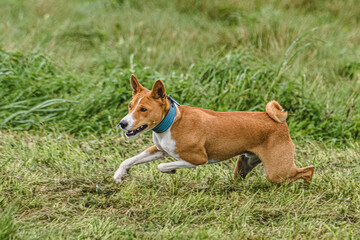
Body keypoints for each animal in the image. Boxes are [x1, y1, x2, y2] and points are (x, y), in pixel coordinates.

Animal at [113, 74, 316, 184]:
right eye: (130, 106)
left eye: (143, 109)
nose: (123, 123)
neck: (171, 122)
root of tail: (280, 122)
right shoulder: (159, 149)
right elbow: (129, 160)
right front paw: (119, 175)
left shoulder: (197, 159)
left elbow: (162, 165)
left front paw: (169, 170)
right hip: (244, 164)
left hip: (277, 172)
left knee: (309, 170)